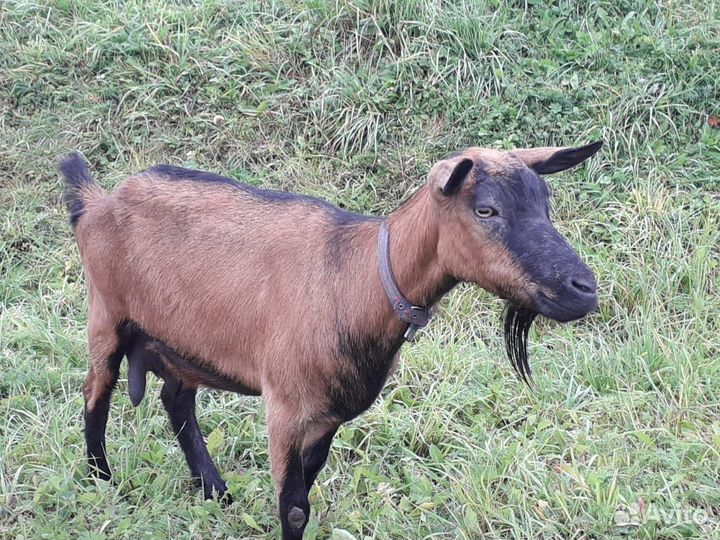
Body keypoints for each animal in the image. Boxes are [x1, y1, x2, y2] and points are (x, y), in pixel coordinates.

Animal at [60, 141, 601, 540]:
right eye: (486, 210)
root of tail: (99, 203)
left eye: (545, 204)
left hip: (185, 341)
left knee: (176, 399)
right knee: (96, 391)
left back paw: (213, 489)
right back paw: (100, 478)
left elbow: (308, 489)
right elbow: (294, 507)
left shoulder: (328, 415)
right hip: (106, 316)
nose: (584, 289)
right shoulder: (284, 407)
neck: (357, 277)